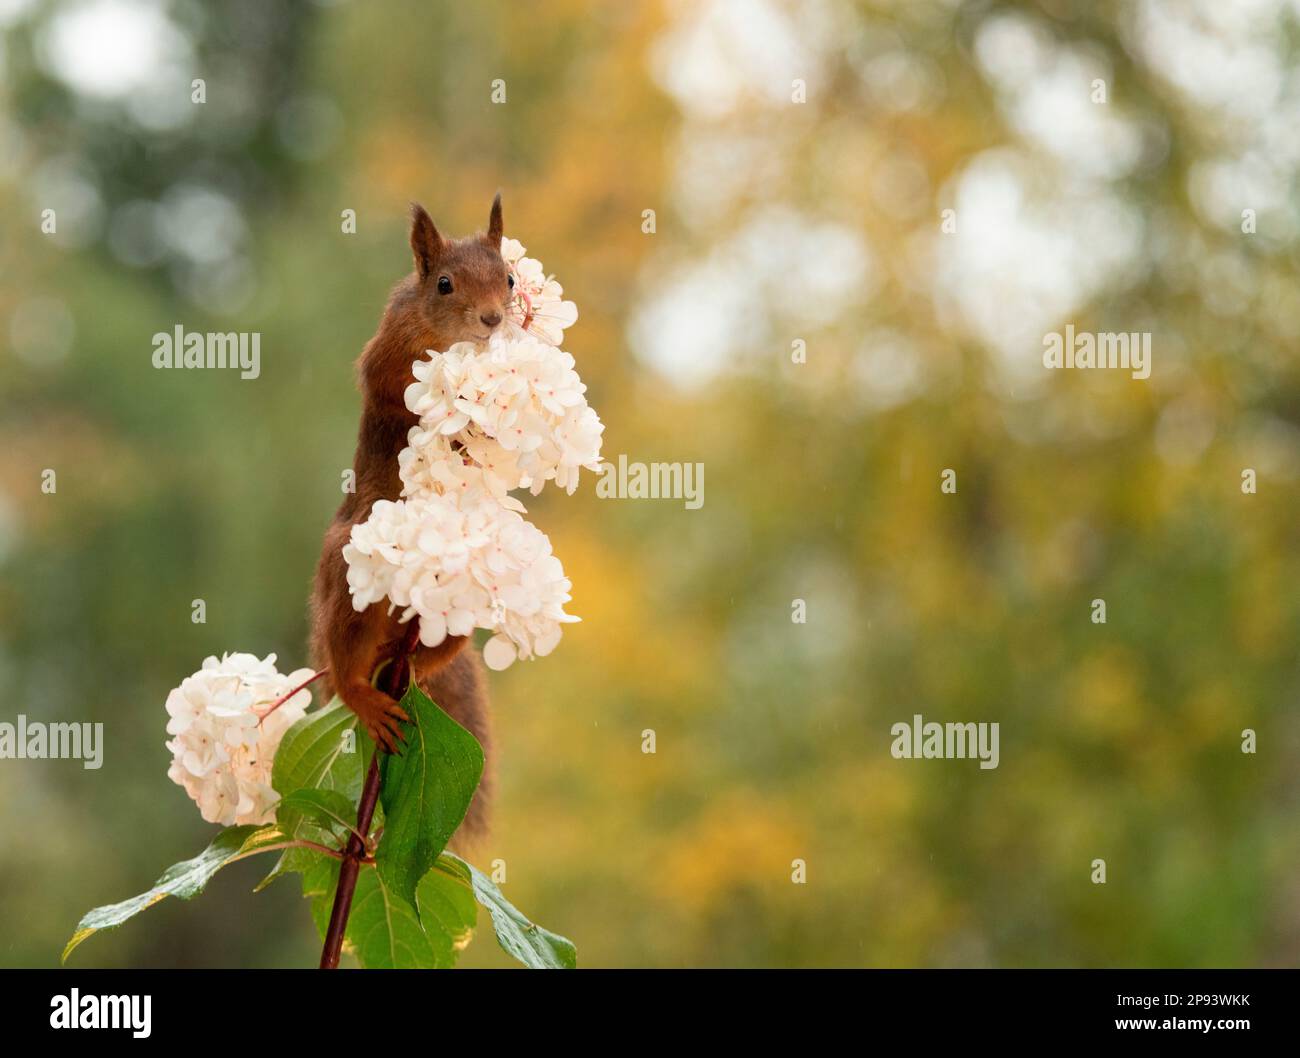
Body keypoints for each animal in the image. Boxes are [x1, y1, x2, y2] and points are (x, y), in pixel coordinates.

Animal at [309, 194, 511, 843]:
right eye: (444, 284)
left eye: (510, 278)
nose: (493, 320)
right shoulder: (386, 356)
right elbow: (394, 390)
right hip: (348, 578)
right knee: (345, 659)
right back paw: (364, 697)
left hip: (457, 622)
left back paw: (417, 669)